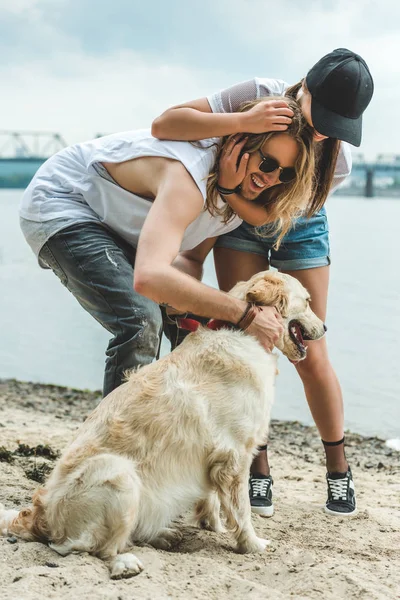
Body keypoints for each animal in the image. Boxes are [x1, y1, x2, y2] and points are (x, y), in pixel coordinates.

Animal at [0, 270, 324, 576]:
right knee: (92, 548)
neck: (242, 333)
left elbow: (212, 498)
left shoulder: (214, 455)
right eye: (308, 301)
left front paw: (213, 525)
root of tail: (40, 516)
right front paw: (252, 544)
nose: (325, 328)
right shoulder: (235, 456)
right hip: (118, 474)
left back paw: (162, 535)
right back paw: (125, 562)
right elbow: (241, 510)